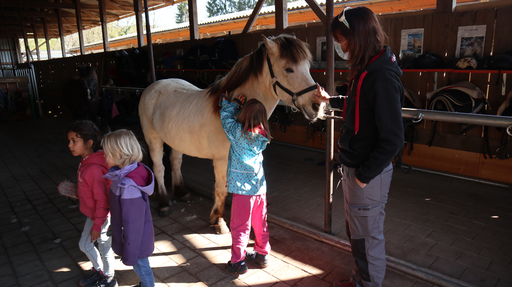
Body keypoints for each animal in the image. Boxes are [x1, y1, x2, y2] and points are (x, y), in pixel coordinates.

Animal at [138, 34, 326, 234]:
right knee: (159, 167)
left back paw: (182, 193)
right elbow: (221, 189)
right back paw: (164, 204)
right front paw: (219, 221)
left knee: (175, 162)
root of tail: (152, 87)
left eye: (307, 67)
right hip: (153, 139)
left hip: (176, 140)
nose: (317, 106)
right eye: (288, 69)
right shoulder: (221, 160)